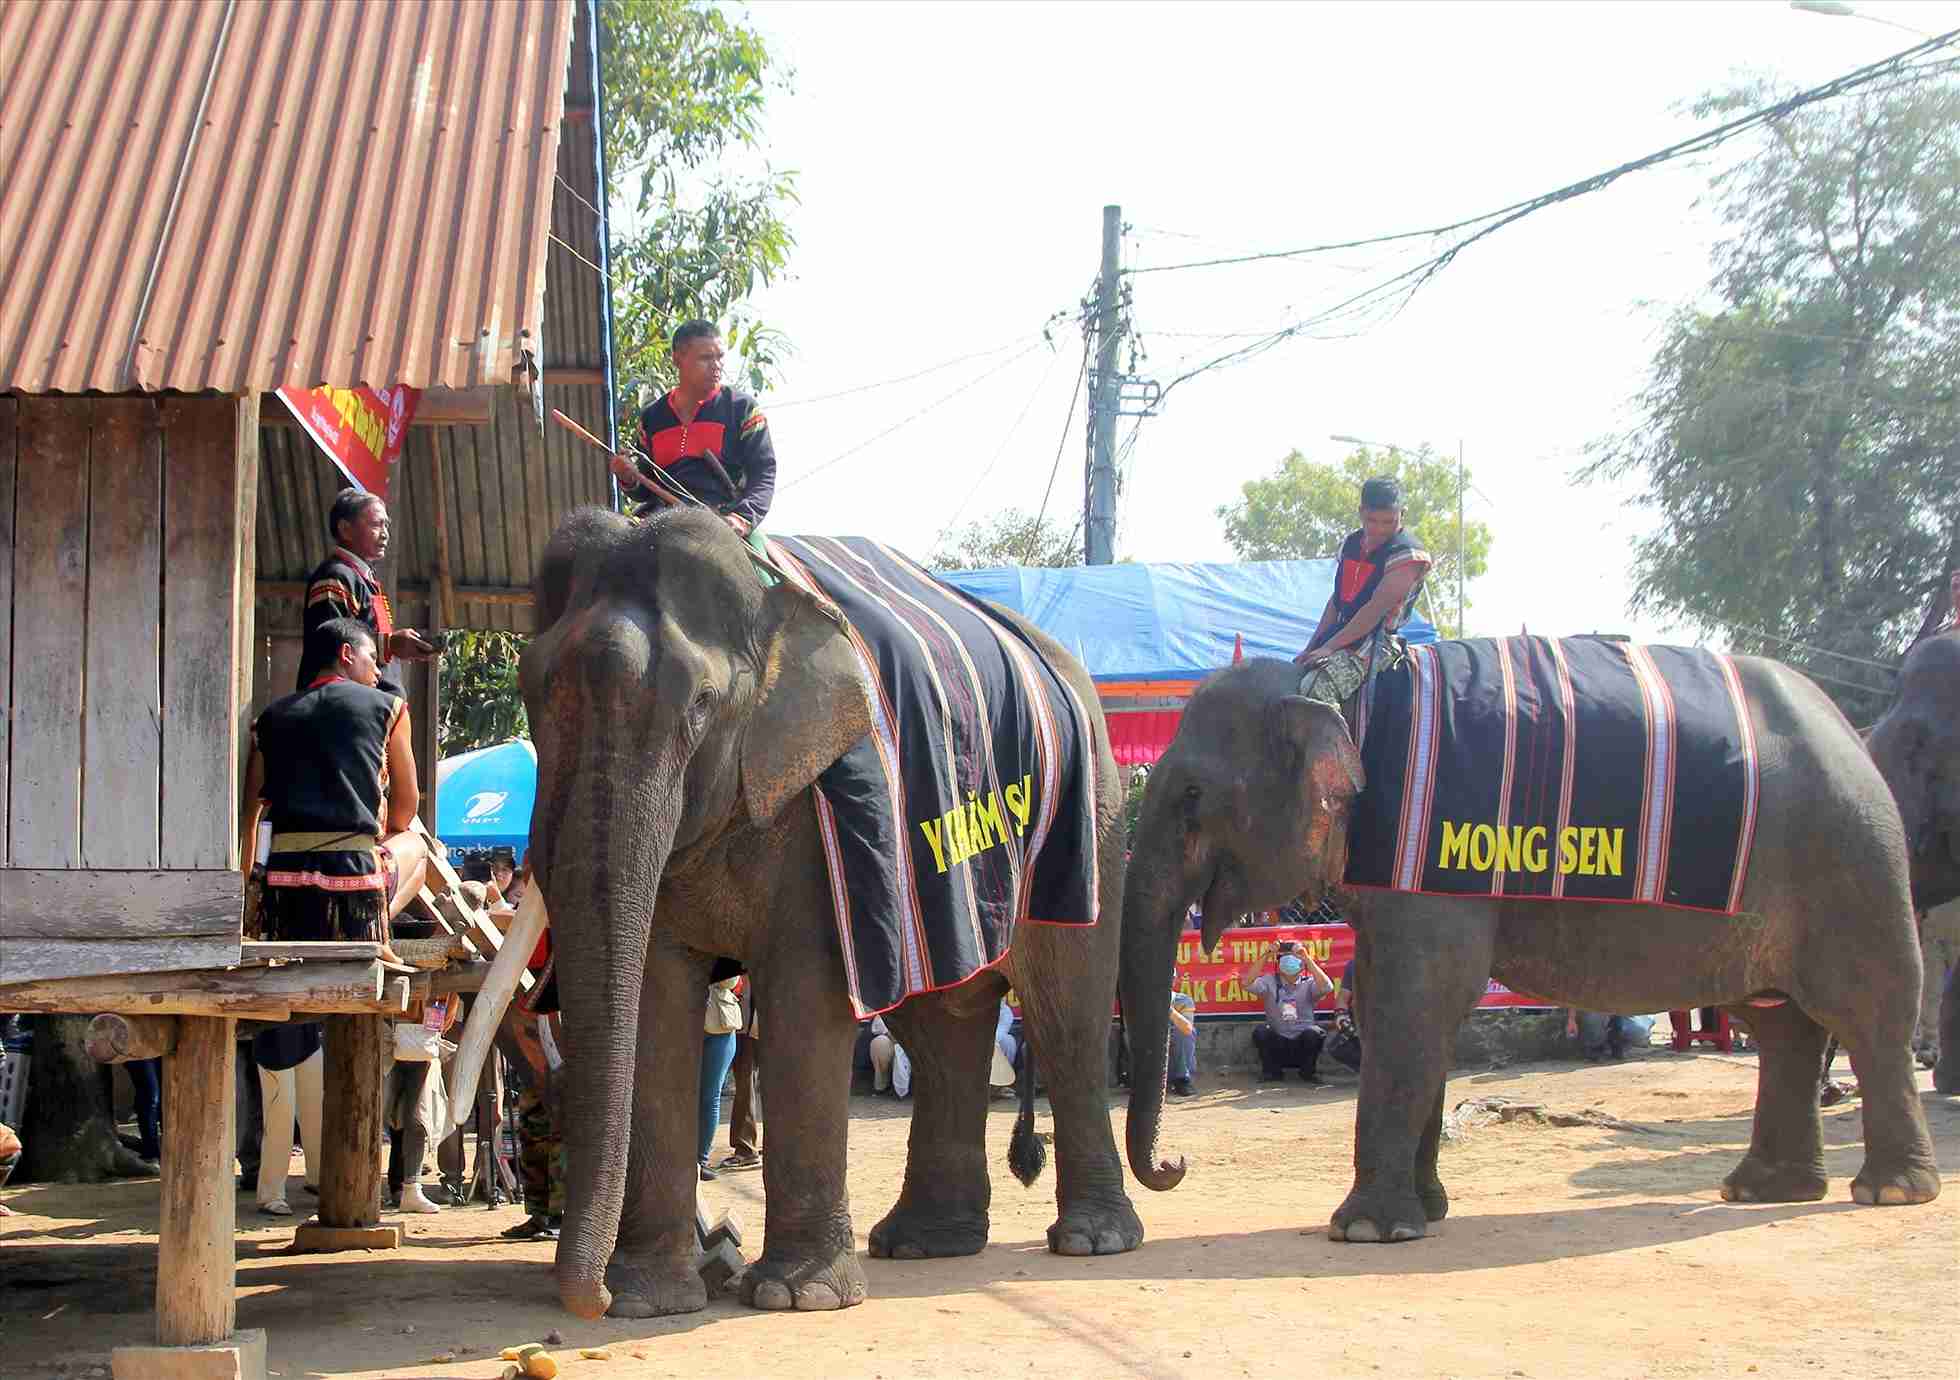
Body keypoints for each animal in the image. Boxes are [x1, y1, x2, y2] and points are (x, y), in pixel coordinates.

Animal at [455, 506, 1143, 1321]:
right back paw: (924, 1242)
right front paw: (649, 1300)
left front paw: (796, 1295)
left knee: (1066, 1013)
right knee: (943, 1020)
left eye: (700, 705)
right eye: (530, 692)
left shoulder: (827, 815)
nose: (587, 1299)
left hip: (1092, 818)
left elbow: (804, 997)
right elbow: (654, 999)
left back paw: (1093, 1241)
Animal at [1119, 655, 1941, 1245]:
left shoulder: (1432, 864)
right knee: (1781, 1025)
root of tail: (1852, 733)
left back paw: (1888, 1191)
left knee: (1868, 1013)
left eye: (1191, 797)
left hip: (1854, 865)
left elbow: (1416, 1002)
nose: (1178, 1164)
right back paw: (1763, 1189)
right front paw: (1427, 1211)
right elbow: (1401, 1006)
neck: (1335, 687)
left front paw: (1364, 1230)